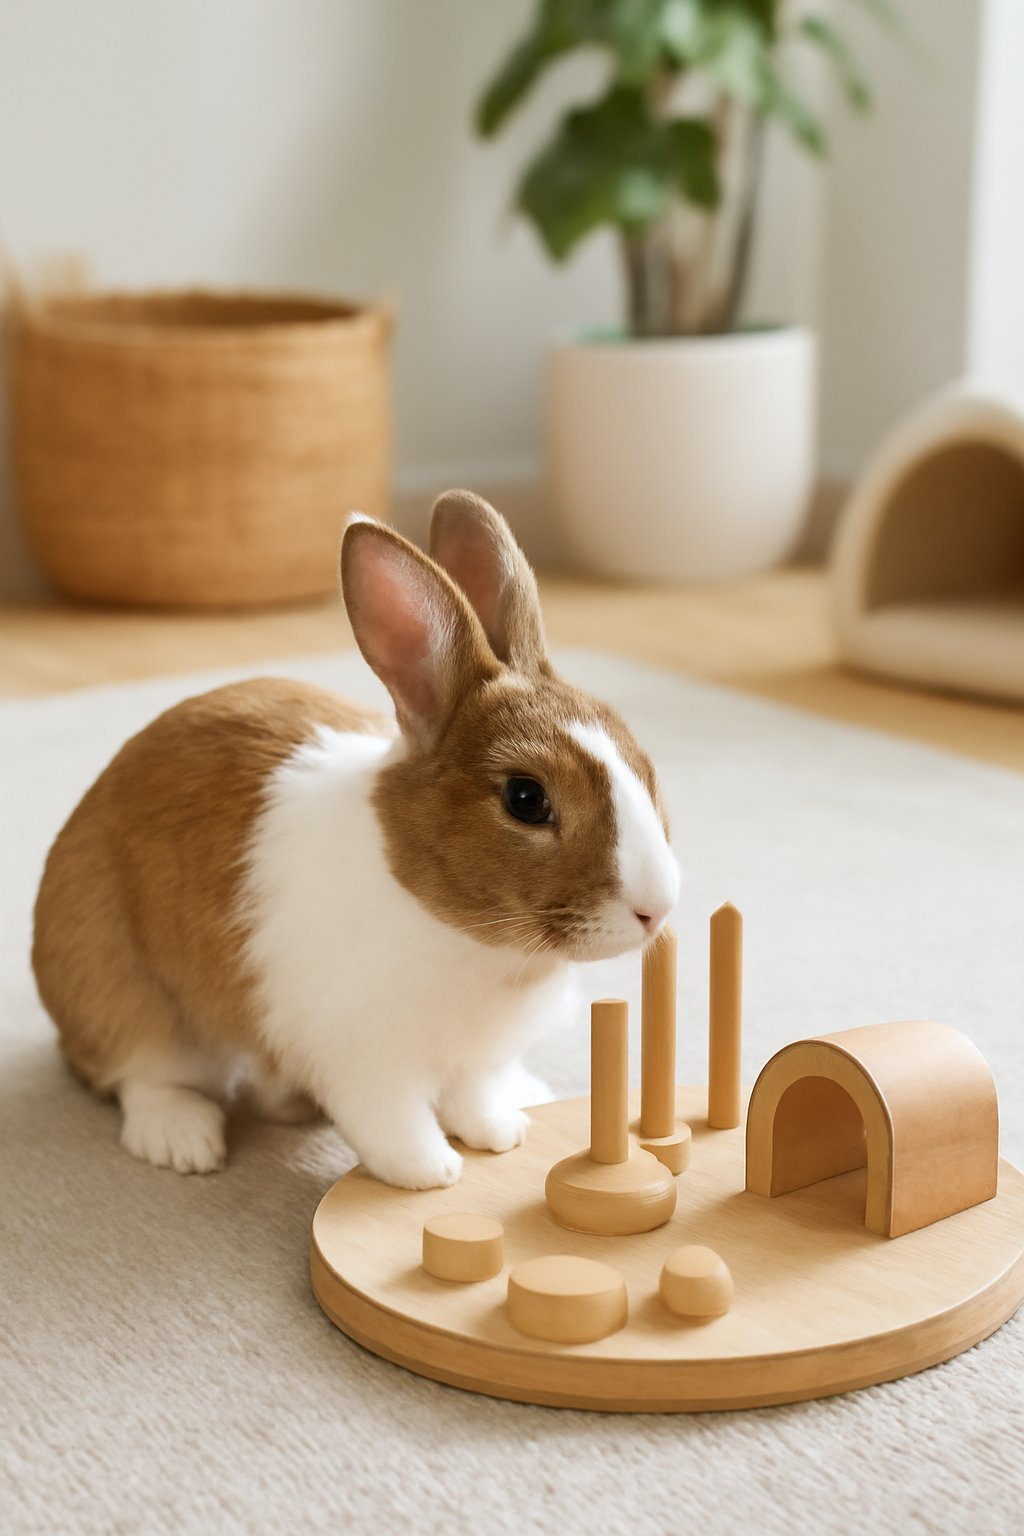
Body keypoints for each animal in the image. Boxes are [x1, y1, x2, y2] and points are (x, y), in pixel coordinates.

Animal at [32, 491, 680, 1188]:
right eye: (525, 799)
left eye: (645, 766)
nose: (656, 909)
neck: (476, 943)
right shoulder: (365, 1061)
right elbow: (392, 1123)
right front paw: (432, 1174)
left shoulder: (475, 1059)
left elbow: (474, 1096)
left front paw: (498, 1134)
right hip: (120, 986)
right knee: (143, 1074)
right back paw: (182, 1141)